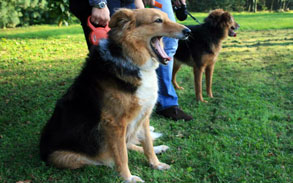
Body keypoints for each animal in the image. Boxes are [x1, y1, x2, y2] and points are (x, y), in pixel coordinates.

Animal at [39, 7, 189, 182]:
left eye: (167, 17)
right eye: (158, 20)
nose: (188, 31)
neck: (130, 60)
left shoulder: (143, 115)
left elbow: (147, 145)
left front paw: (156, 164)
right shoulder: (115, 123)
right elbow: (121, 155)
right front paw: (128, 178)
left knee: (130, 144)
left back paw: (159, 148)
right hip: (66, 157)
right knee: (110, 155)